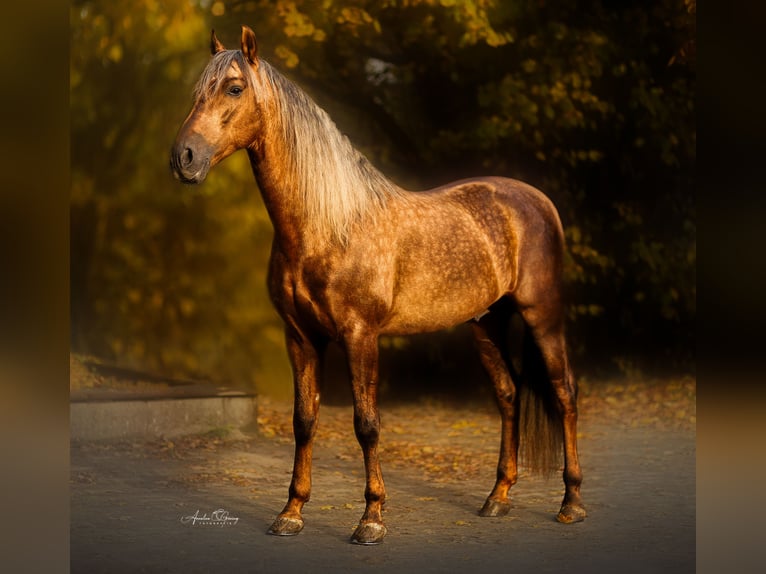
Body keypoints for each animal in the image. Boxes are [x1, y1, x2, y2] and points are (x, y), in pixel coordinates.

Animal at [170, 27, 588, 548]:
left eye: (233, 87)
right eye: (197, 90)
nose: (183, 158)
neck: (328, 225)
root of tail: (538, 200)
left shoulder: (360, 335)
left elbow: (366, 424)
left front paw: (371, 518)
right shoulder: (300, 337)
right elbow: (303, 421)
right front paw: (291, 512)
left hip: (541, 315)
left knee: (564, 393)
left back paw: (571, 503)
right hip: (486, 324)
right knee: (509, 395)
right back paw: (498, 498)